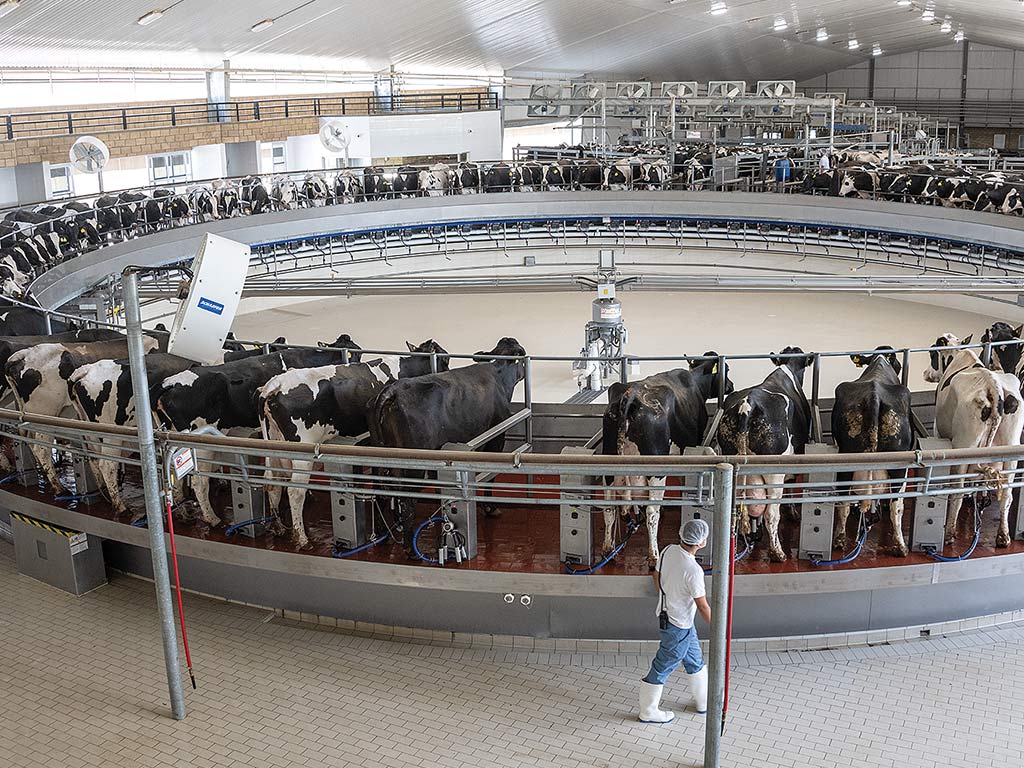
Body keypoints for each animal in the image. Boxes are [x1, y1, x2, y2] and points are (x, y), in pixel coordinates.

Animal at [368, 339, 528, 557]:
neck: (498, 374)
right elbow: (489, 476)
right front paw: (490, 508)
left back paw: (383, 535)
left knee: (381, 492)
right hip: (414, 463)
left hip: (380, 457)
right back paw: (410, 547)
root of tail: (393, 390)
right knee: (407, 499)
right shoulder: (496, 438)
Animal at [602, 358, 733, 569]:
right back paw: (653, 555)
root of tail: (631, 396)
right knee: (651, 512)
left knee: (608, 506)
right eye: (726, 370)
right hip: (656, 469)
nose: (730, 386)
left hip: (608, 465)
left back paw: (608, 549)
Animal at [831, 350, 913, 561]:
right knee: (895, 506)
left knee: (845, 502)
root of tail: (873, 395)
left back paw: (840, 540)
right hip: (899, 466)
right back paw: (899, 546)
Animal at [929, 331, 1024, 548]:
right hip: (1011, 449)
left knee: (957, 492)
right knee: (1006, 495)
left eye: (932, 353)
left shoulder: (939, 429)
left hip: (963, 446)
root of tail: (994, 387)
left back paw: (950, 534)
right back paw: (1003, 537)